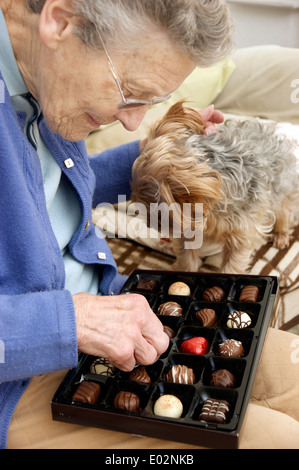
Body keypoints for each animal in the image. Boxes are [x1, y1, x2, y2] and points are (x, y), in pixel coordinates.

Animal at [131, 101, 299, 274]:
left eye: (157, 213)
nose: (150, 224)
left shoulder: (241, 232)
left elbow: (232, 265)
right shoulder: (189, 227)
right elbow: (187, 257)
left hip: (282, 186)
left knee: (284, 210)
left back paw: (281, 235)